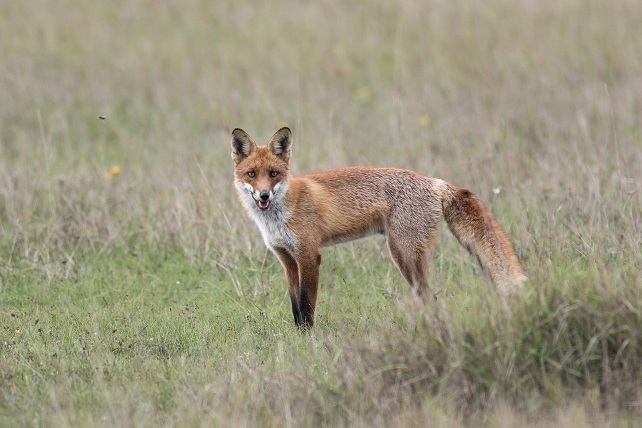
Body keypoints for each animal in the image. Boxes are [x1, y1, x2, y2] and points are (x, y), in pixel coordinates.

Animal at [231, 127, 524, 328]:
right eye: (251, 174)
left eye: (274, 174)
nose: (264, 196)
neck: (279, 215)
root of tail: (435, 182)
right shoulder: (287, 259)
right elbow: (295, 306)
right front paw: (298, 338)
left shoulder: (309, 255)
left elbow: (306, 306)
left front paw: (308, 342)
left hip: (404, 255)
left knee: (430, 299)